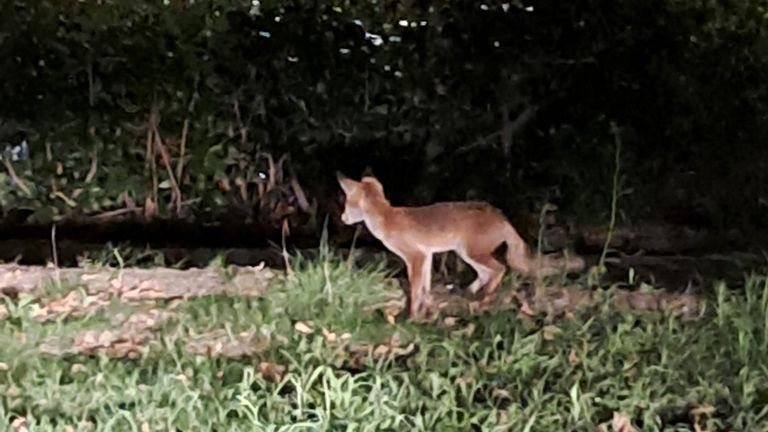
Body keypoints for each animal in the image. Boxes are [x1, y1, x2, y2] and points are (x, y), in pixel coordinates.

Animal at [338, 173, 588, 320]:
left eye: (347, 205)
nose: (342, 219)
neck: (387, 219)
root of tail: (502, 217)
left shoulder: (415, 256)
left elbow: (416, 290)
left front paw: (411, 317)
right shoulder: (427, 255)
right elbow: (425, 289)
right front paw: (426, 313)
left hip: (471, 253)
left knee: (499, 269)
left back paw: (484, 299)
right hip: (465, 253)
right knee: (486, 274)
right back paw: (470, 293)